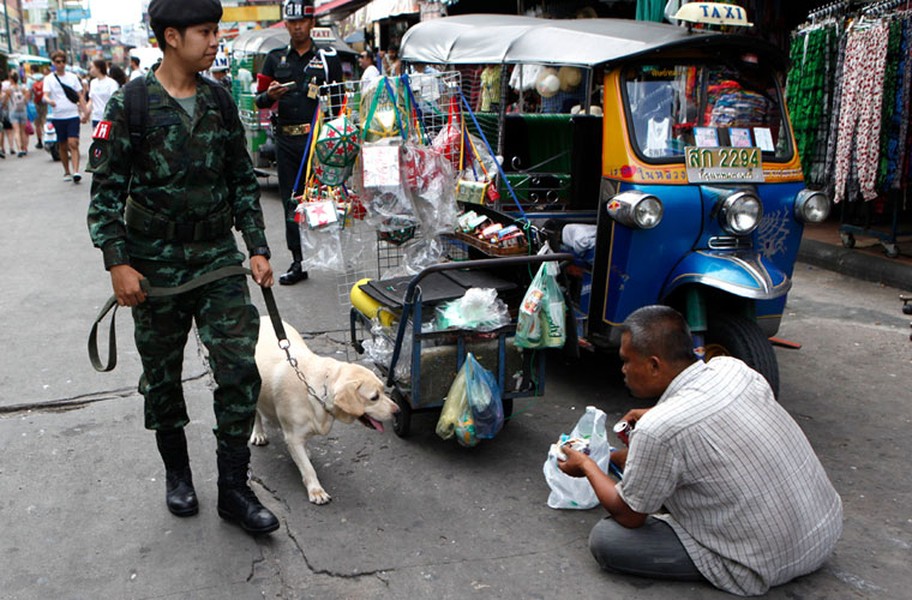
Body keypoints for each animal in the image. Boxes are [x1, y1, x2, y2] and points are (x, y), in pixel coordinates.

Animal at [251, 322, 398, 504]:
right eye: (374, 397)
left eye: (384, 391)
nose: (397, 410)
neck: (320, 388)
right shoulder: (293, 437)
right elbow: (308, 468)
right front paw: (316, 490)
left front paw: (305, 452)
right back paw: (258, 433)